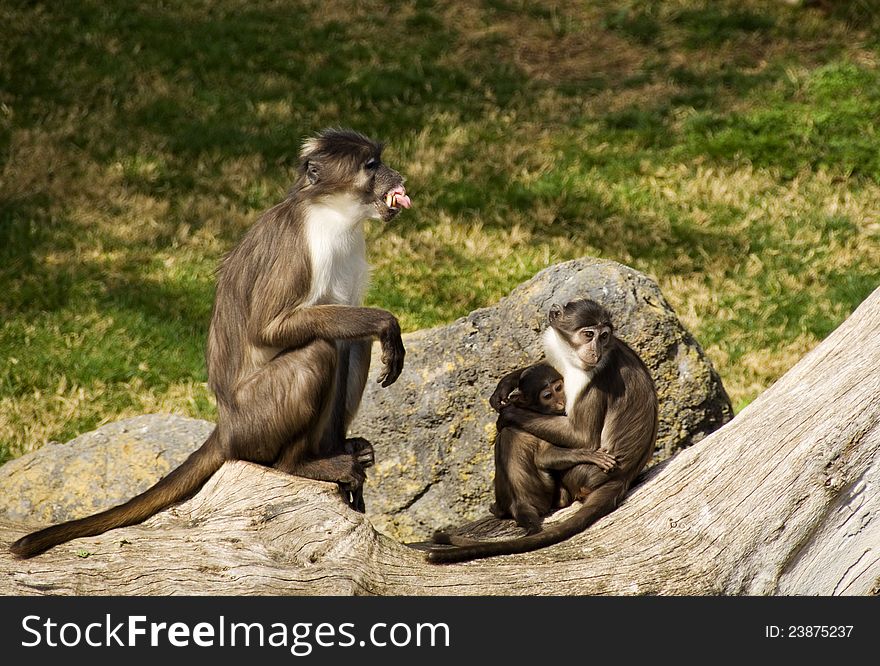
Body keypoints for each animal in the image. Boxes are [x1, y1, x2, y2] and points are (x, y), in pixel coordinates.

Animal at [12, 127, 412, 556]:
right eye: (371, 166)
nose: (396, 177)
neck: (333, 214)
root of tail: (226, 426)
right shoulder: (300, 244)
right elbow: (267, 330)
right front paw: (386, 322)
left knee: (350, 342)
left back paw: (335, 449)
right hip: (256, 420)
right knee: (319, 350)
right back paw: (300, 464)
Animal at [430, 298, 656, 564]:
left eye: (604, 336)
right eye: (589, 335)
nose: (596, 351)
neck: (571, 355)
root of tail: (622, 479)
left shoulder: (593, 375)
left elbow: (583, 437)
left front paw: (510, 412)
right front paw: (508, 382)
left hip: (577, 476)